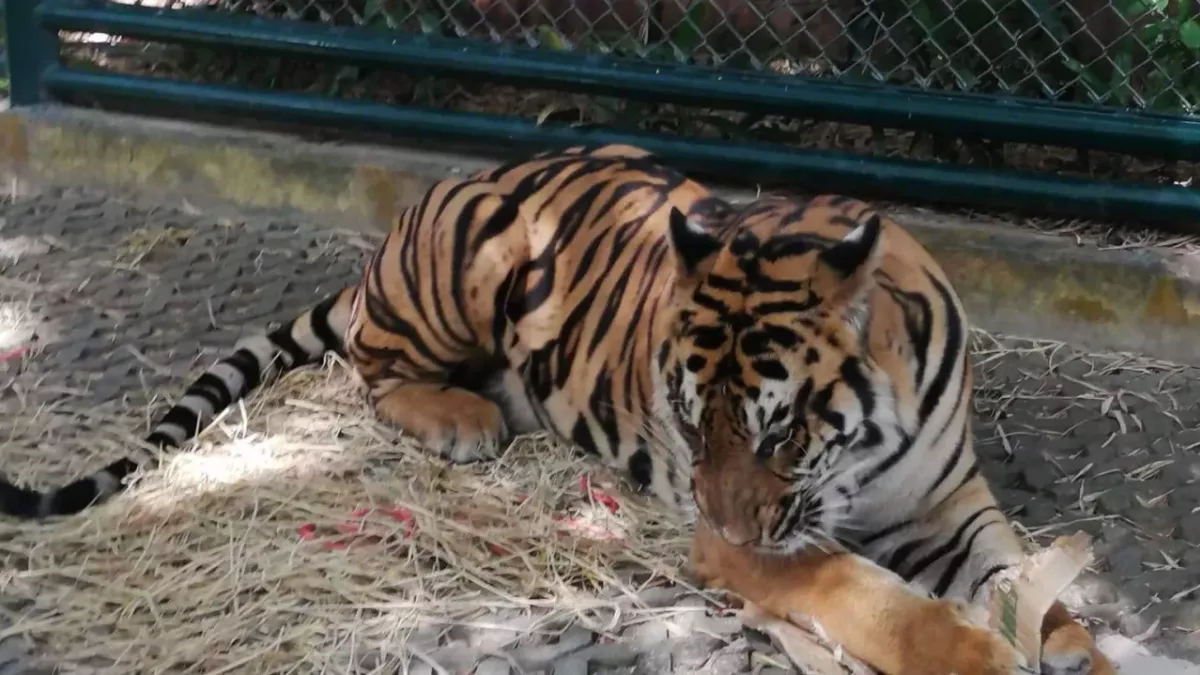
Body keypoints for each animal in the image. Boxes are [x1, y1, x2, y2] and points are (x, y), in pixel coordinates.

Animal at [0, 144, 1109, 674]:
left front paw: (1071, 642)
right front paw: (975, 652)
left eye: (782, 429)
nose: (718, 524)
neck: (865, 451)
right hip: (469, 262)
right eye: (689, 422)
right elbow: (877, 598)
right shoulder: (767, 543)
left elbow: (1021, 576)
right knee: (369, 363)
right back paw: (464, 417)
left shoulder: (947, 502)